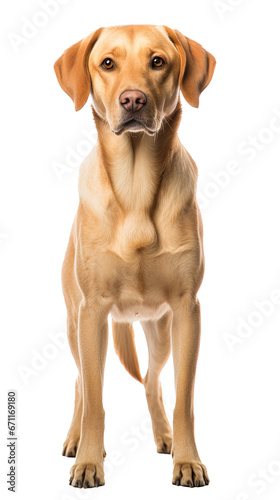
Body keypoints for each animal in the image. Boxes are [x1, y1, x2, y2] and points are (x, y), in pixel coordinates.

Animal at [55, 24, 217, 488]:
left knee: (152, 381)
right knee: (80, 383)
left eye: (158, 61)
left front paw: (188, 460)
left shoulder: (188, 311)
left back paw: (164, 437)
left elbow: (184, 399)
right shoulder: (92, 313)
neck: (136, 185)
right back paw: (74, 439)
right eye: (107, 63)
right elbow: (94, 399)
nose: (133, 100)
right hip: (75, 326)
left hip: (160, 331)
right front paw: (89, 461)